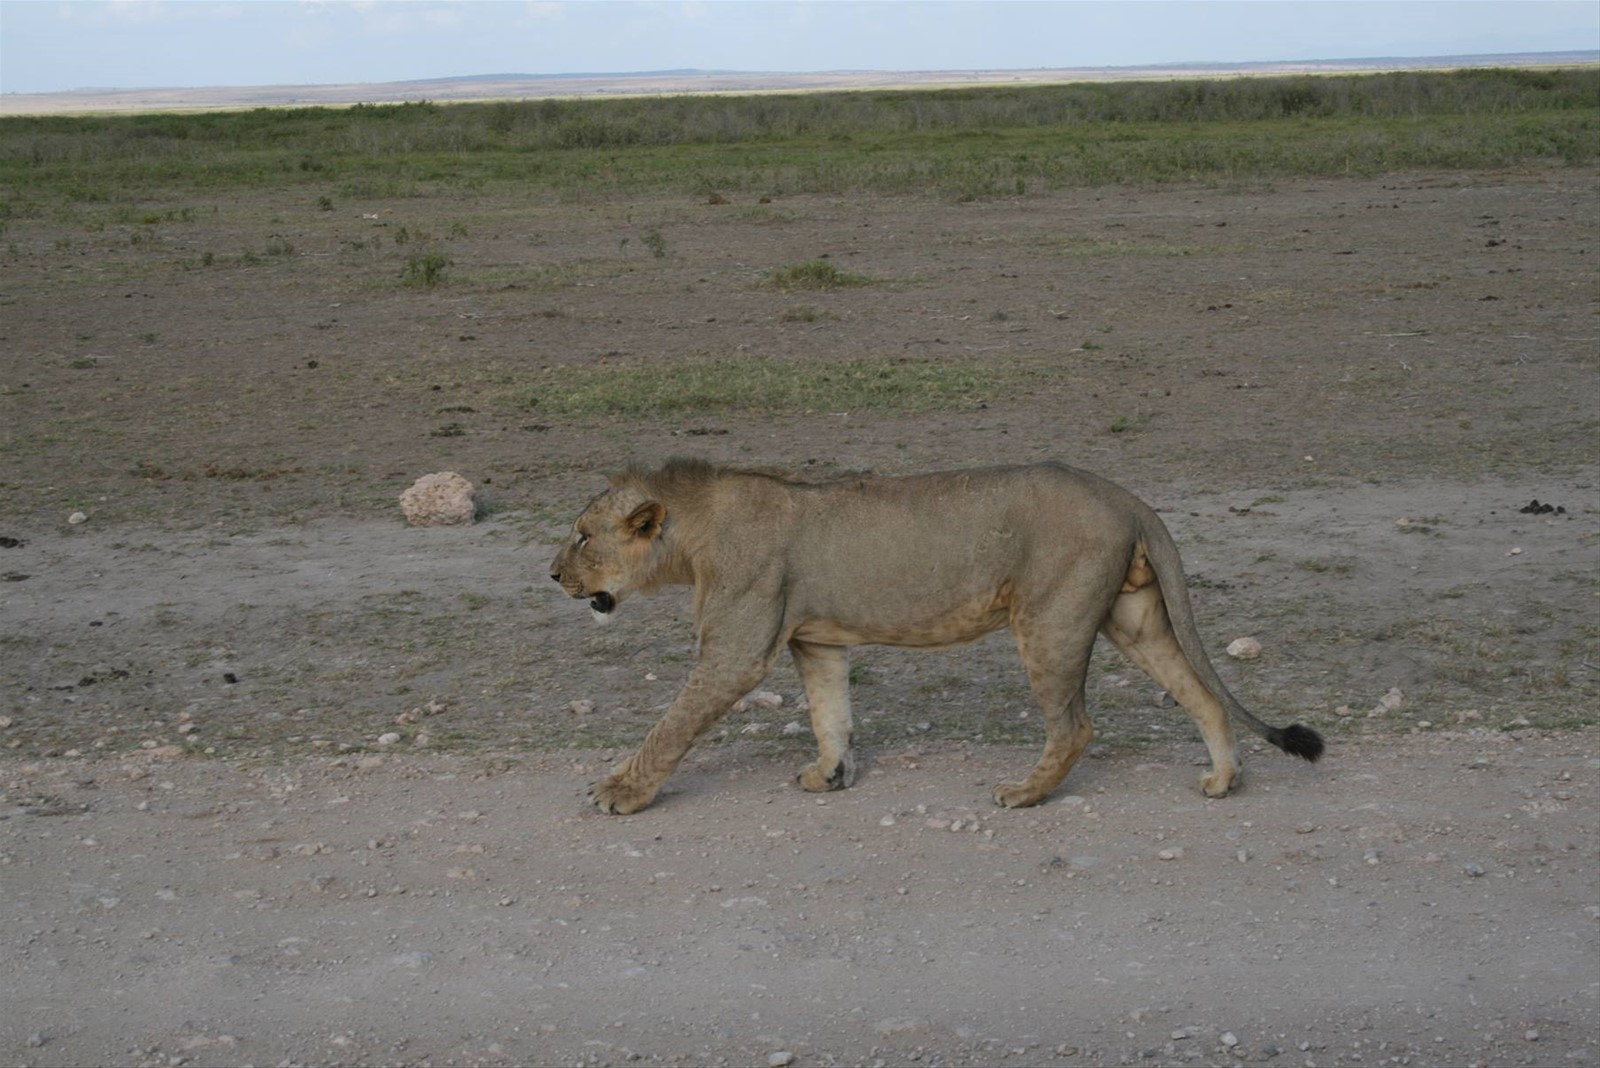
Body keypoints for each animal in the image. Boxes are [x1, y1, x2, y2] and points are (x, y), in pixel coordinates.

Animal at [550, 459, 1322, 815]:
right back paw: (1222, 779)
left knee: (1074, 726)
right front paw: (830, 775)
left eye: (583, 536)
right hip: (1131, 616)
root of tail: (1124, 495)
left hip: (1049, 618)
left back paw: (1025, 794)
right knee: (1203, 694)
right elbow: (830, 712)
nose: (552, 572)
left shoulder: (738, 650)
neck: (691, 541)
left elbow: (671, 726)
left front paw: (620, 792)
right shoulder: (815, 640)